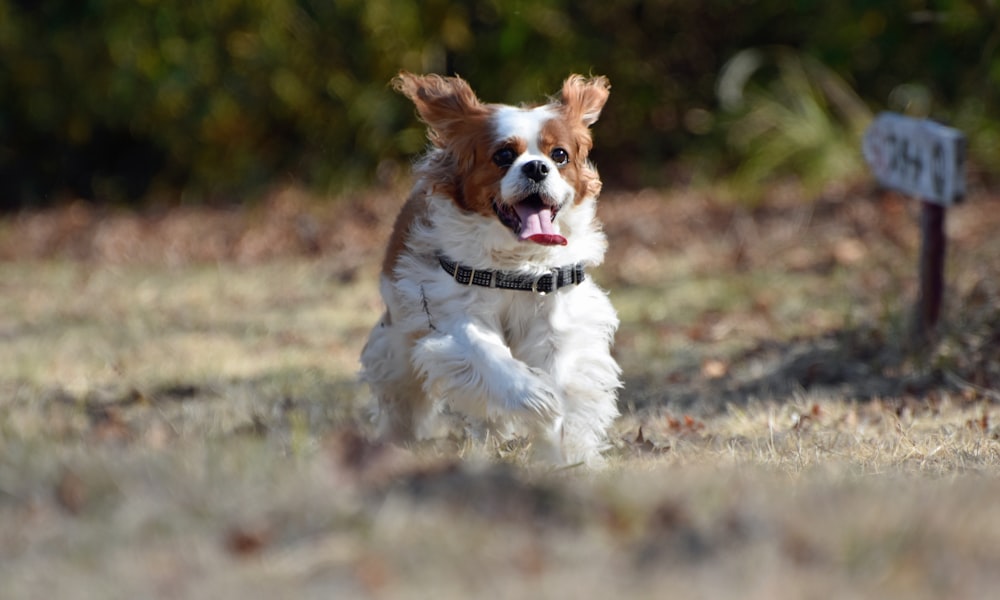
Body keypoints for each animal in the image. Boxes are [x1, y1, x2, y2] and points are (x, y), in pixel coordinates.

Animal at [360, 70, 620, 464]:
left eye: (559, 155)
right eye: (504, 155)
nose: (537, 167)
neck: (517, 264)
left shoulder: (557, 319)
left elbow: (560, 377)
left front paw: (559, 452)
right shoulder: (454, 313)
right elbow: (487, 355)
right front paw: (535, 397)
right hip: (399, 340)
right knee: (402, 394)